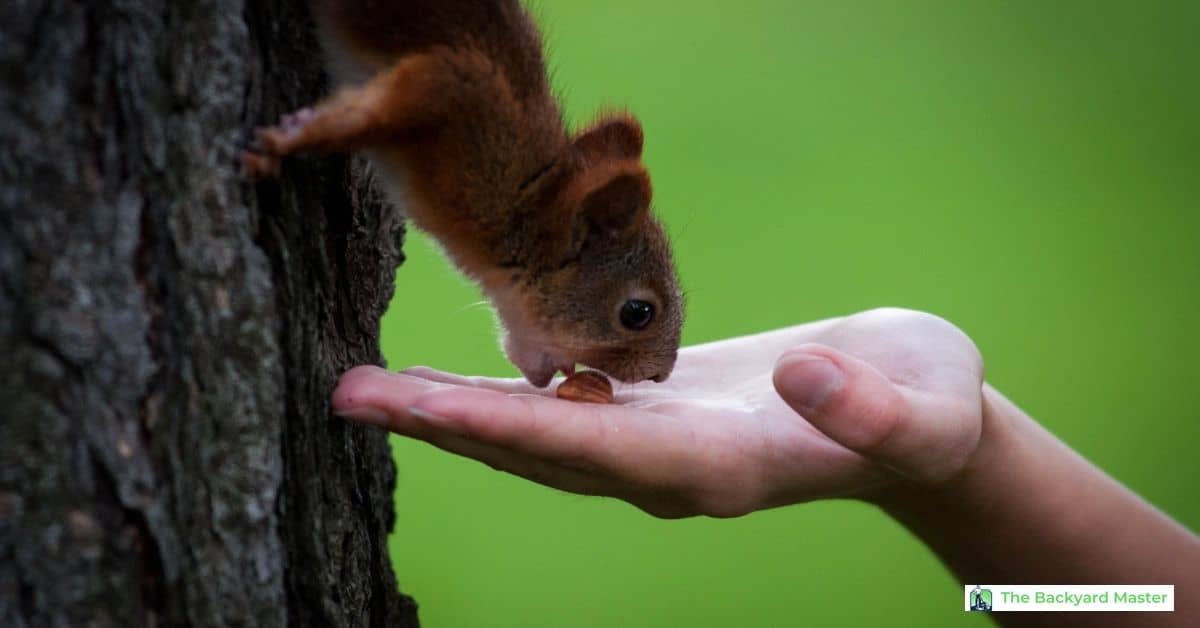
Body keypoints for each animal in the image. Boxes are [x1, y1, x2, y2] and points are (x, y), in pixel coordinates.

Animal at [242, 1, 683, 387]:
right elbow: (373, 112)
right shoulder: (456, 92)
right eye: (637, 313)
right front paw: (292, 138)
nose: (659, 375)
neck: (519, 195)